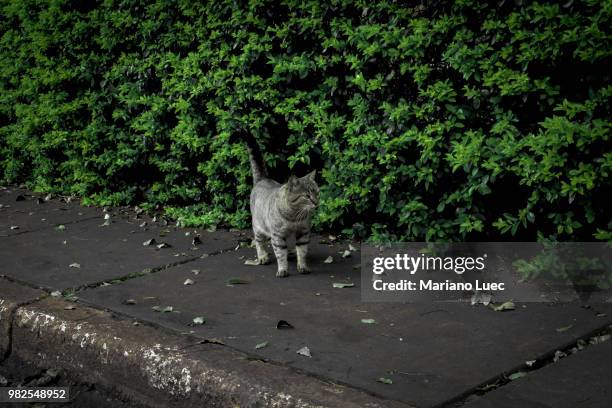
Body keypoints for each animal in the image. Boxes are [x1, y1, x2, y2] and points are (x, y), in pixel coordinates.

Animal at [244, 133, 320, 278]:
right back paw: (262, 256)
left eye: (317, 193)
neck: (293, 216)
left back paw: (291, 253)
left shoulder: (303, 232)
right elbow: (280, 254)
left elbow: (302, 251)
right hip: (258, 227)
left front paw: (302, 266)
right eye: (307, 196)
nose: (316, 202)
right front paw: (283, 269)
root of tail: (263, 179)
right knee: (259, 242)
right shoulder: (277, 235)